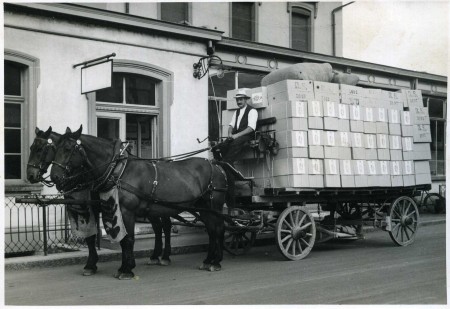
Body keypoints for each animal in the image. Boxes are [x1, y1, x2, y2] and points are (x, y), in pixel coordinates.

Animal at [25, 126, 174, 276]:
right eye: (31, 147)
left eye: (40, 149)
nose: (30, 175)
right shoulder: (89, 208)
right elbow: (90, 237)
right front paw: (91, 265)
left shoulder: (99, 208)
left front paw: (98, 264)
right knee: (157, 227)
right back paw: (155, 256)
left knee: (166, 226)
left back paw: (165, 256)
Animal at [50, 125, 229, 280]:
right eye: (54, 148)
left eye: (68, 149)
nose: (54, 177)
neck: (118, 170)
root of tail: (216, 165)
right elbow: (114, 239)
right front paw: (119, 266)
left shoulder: (126, 211)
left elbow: (127, 239)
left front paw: (126, 269)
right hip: (202, 207)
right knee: (211, 230)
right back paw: (208, 260)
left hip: (214, 206)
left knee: (218, 228)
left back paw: (216, 261)